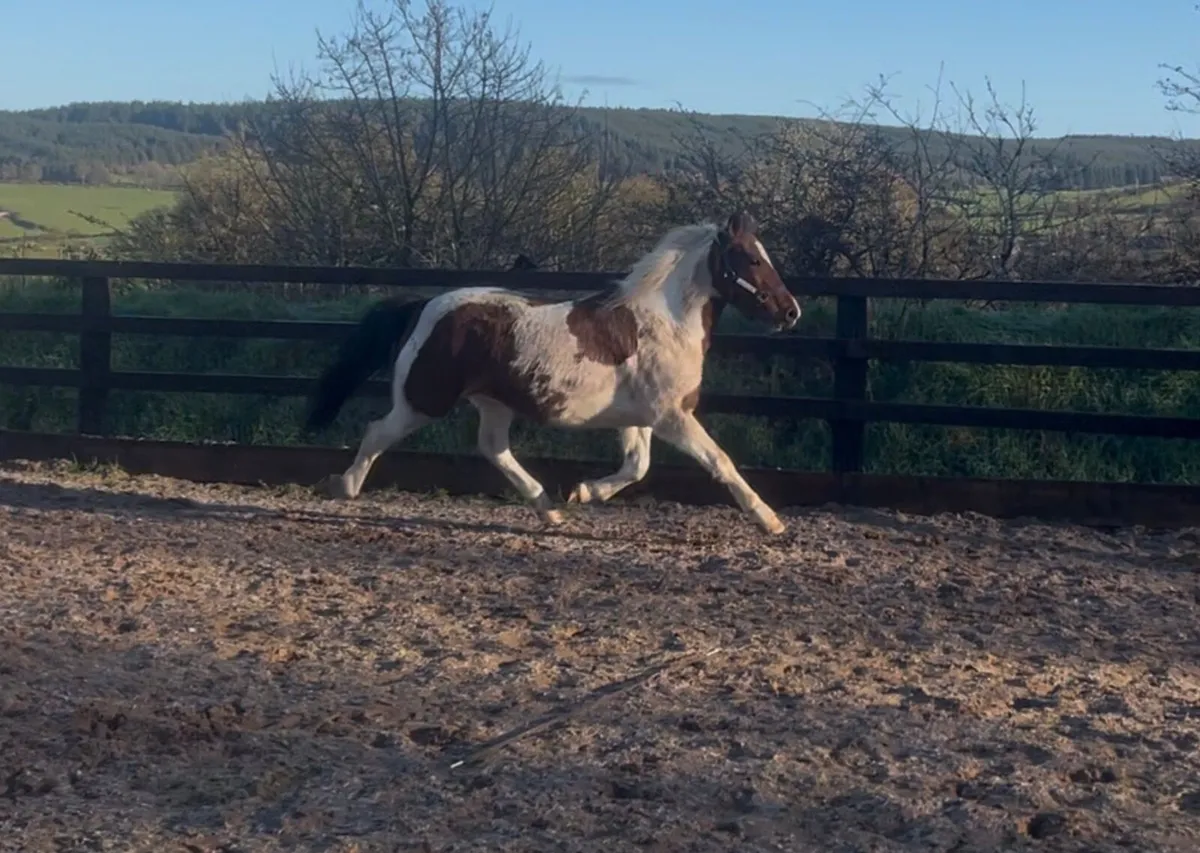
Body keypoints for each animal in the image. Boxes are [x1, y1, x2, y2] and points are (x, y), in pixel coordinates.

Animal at [304, 211, 802, 534]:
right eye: (752, 260)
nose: (791, 312)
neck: (666, 322)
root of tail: (423, 305)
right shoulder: (672, 416)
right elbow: (719, 461)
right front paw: (770, 520)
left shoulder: (640, 418)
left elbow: (636, 467)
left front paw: (582, 494)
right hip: (424, 400)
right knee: (378, 432)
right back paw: (344, 486)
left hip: (493, 403)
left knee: (494, 449)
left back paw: (548, 509)